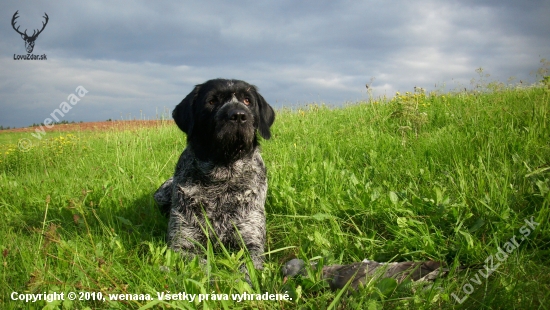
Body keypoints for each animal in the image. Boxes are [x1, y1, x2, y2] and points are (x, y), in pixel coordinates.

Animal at [154, 78, 276, 272]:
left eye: (247, 100)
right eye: (212, 101)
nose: (239, 115)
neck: (222, 175)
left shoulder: (252, 243)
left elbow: (247, 268)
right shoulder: (181, 245)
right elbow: (204, 266)